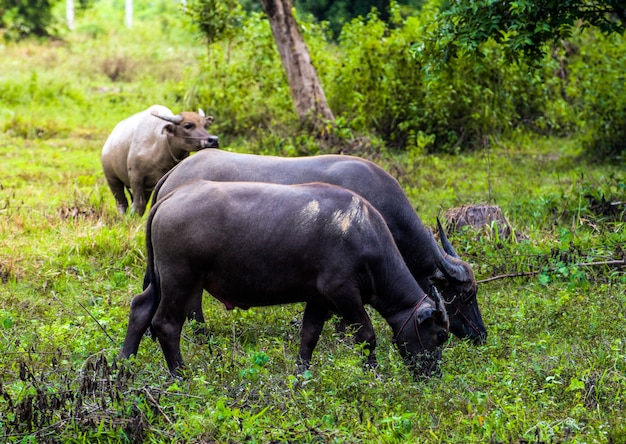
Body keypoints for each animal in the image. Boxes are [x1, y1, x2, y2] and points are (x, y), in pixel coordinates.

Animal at [120, 180, 448, 378]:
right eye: (440, 335)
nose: (433, 374)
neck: (362, 232)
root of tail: (170, 198)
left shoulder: (318, 299)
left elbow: (309, 337)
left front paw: (301, 376)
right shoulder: (342, 292)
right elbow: (366, 335)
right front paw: (374, 374)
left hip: (162, 280)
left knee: (140, 308)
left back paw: (125, 366)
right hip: (181, 279)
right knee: (166, 324)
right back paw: (181, 374)